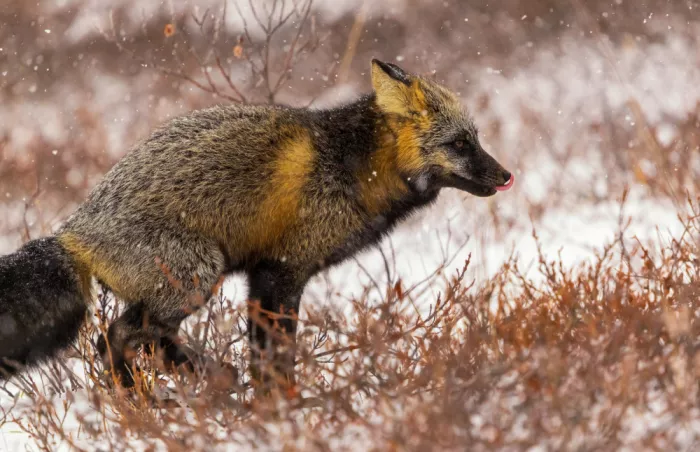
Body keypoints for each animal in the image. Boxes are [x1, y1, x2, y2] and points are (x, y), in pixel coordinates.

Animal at [0, 60, 513, 390]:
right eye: (460, 144)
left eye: (476, 139)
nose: (506, 176)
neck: (353, 168)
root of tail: (72, 233)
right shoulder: (280, 271)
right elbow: (276, 360)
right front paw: (283, 410)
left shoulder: (266, 275)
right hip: (197, 275)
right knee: (114, 340)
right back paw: (144, 399)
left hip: (184, 287)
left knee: (141, 342)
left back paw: (201, 381)